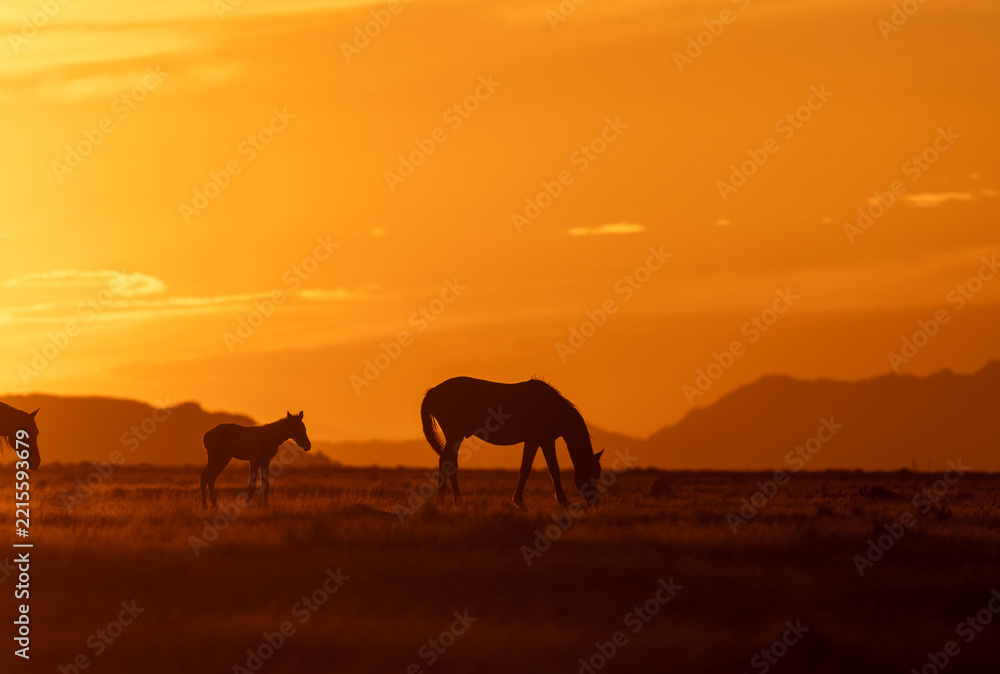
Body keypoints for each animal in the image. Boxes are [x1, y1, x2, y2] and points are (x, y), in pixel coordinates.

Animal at [420, 377, 604, 507]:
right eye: (591, 473)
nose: (595, 503)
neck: (552, 407)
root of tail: (433, 392)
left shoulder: (535, 441)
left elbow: (526, 469)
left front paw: (519, 500)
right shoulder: (544, 440)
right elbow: (552, 469)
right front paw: (562, 501)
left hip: (454, 437)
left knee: (447, 462)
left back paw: (445, 501)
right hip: (454, 436)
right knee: (448, 462)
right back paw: (454, 501)